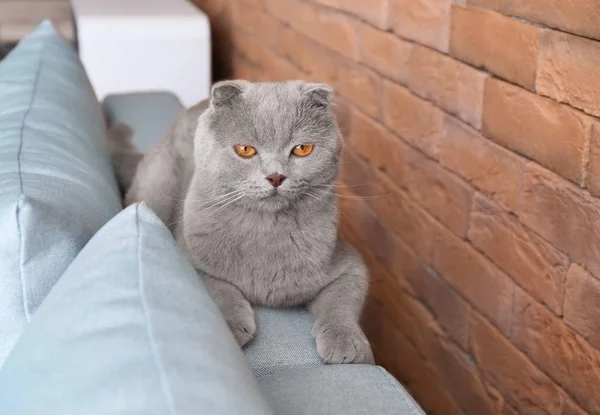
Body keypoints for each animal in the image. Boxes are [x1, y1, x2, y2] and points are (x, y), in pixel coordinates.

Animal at [105, 80, 372, 364]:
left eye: (302, 149)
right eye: (245, 150)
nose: (276, 176)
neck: (266, 231)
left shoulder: (350, 265)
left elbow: (341, 302)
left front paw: (346, 343)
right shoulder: (189, 255)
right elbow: (219, 288)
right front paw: (231, 327)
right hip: (158, 190)